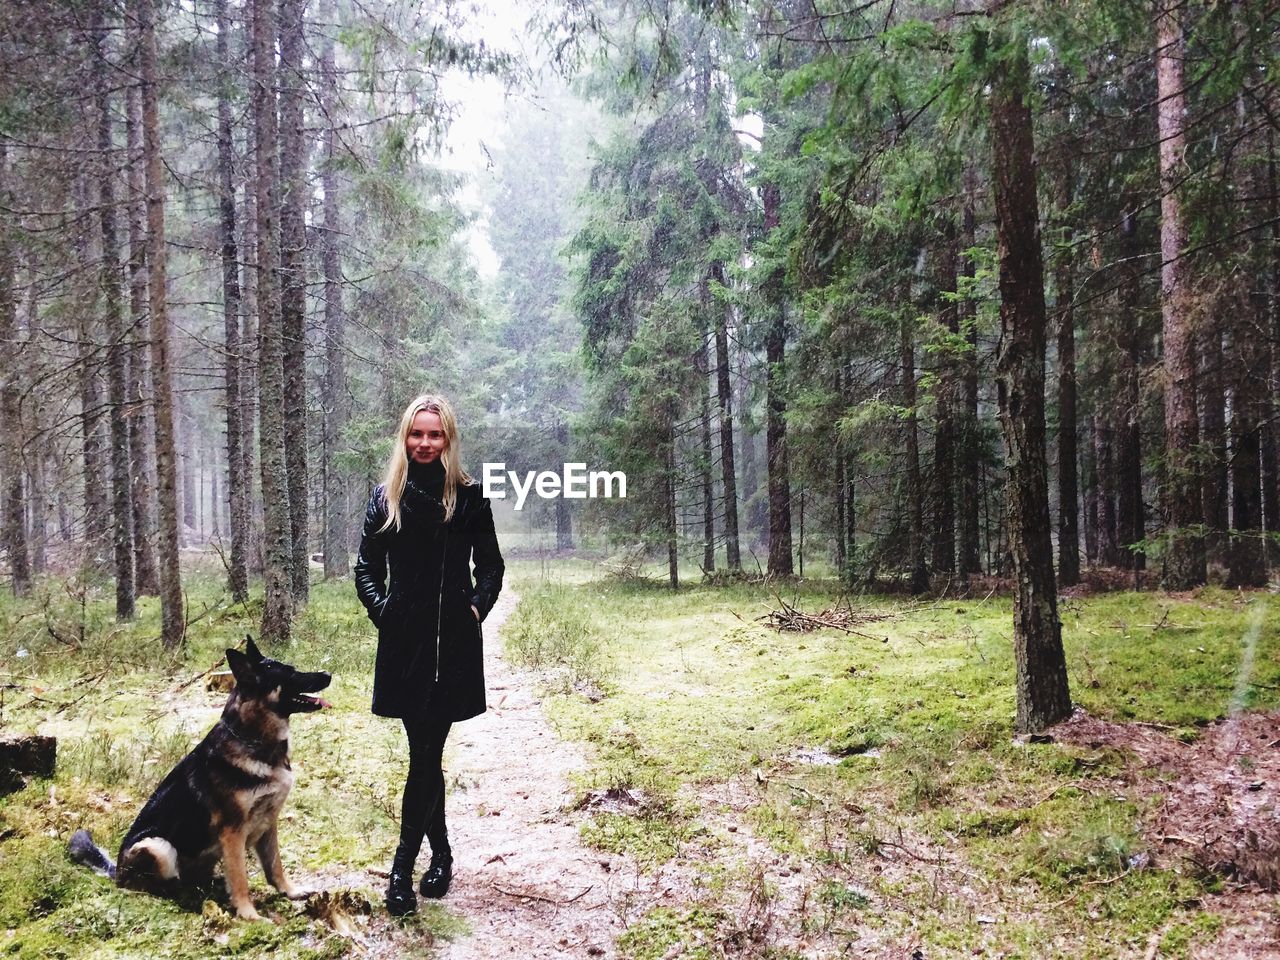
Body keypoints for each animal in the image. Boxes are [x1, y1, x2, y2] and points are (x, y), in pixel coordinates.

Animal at [68, 634, 332, 921]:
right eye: (291, 673)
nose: (328, 674)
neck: (253, 740)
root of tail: (117, 872)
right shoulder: (233, 832)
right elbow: (240, 878)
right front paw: (249, 915)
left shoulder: (269, 822)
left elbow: (275, 866)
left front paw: (290, 891)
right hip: (157, 846)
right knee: (152, 887)